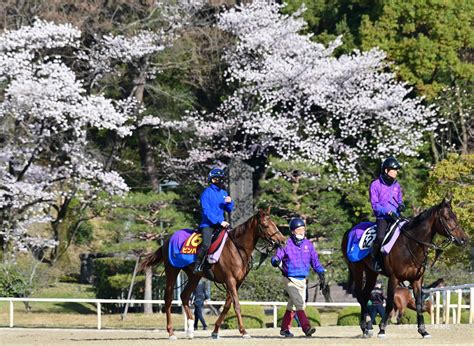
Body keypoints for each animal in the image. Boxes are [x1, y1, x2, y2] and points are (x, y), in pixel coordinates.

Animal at [138, 207, 286, 340]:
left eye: (274, 224)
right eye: (266, 225)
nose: (282, 240)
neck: (237, 247)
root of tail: (168, 239)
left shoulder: (237, 282)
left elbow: (227, 306)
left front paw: (215, 331)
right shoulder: (230, 280)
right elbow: (236, 305)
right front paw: (243, 331)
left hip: (194, 276)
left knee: (184, 296)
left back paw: (190, 329)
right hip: (172, 271)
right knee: (168, 299)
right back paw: (171, 332)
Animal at [340, 197, 466, 338]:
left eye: (455, 217)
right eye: (446, 218)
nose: (463, 239)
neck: (410, 244)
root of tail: (349, 231)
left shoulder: (417, 280)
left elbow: (418, 304)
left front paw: (423, 331)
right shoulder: (394, 278)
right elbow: (389, 304)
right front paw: (382, 329)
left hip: (371, 272)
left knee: (366, 294)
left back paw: (367, 328)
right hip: (357, 269)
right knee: (360, 295)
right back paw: (365, 326)